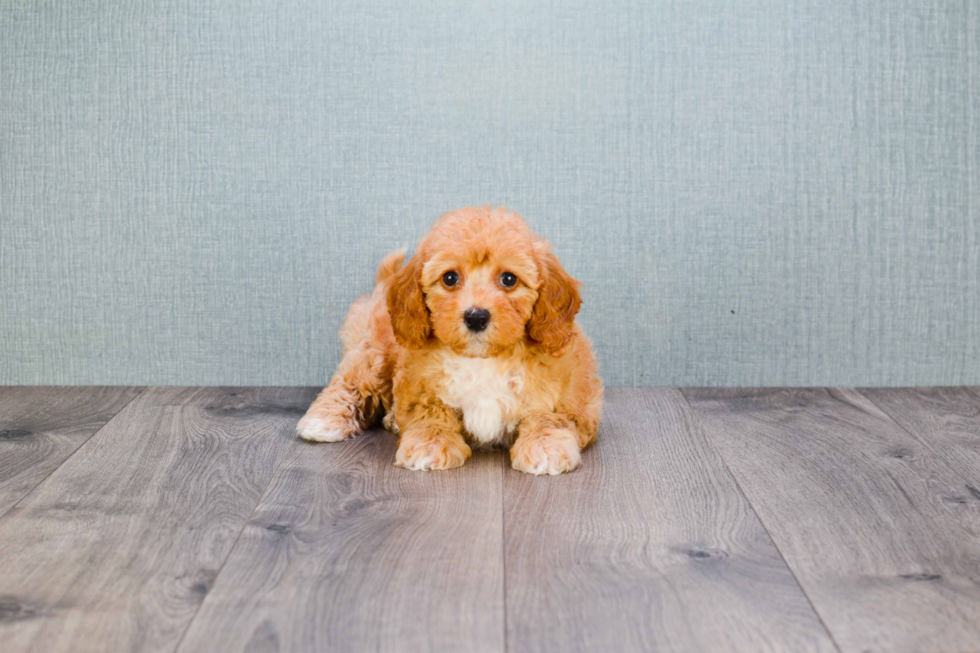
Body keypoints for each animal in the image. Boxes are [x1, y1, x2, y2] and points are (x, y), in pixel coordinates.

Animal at [298, 205, 600, 474]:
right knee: (350, 382)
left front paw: (545, 447)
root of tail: (382, 287)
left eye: (509, 279)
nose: (476, 317)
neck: (482, 358)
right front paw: (430, 444)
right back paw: (323, 421)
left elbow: (549, 415)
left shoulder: (569, 391)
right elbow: (432, 413)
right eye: (450, 278)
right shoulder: (420, 384)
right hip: (374, 350)